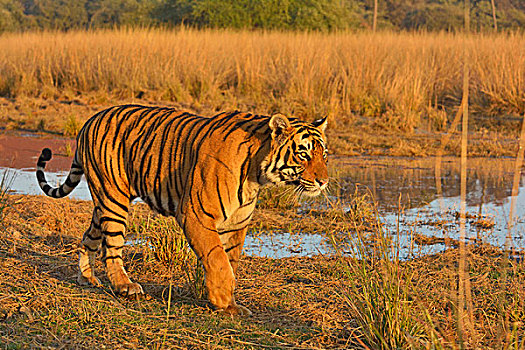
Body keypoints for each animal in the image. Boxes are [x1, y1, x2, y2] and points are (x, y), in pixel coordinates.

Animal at [35, 105, 328, 316]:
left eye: (324, 154)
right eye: (303, 154)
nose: (324, 181)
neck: (257, 173)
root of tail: (89, 121)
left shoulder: (236, 224)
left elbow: (230, 261)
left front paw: (229, 304)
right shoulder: (196, 214)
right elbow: (218, 260)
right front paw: (222, 298)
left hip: (103, 204)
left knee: (89, 237)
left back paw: (86, 277)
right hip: (113, 198)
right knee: (112, 247)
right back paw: (125, 286)